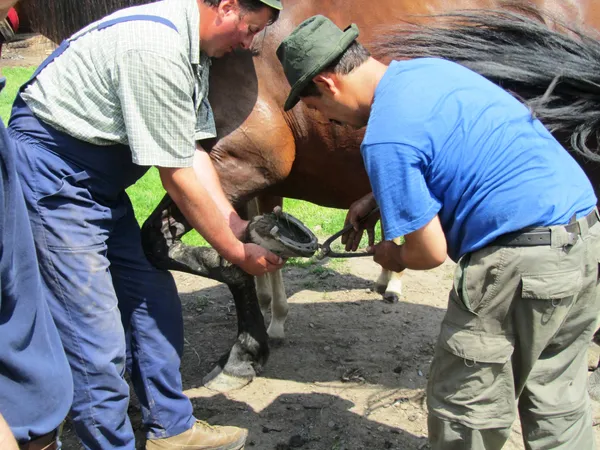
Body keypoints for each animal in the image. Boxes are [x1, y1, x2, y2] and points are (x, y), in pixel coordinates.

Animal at [21, 0, 600, 390]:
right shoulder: (257, 186)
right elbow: (254, 248)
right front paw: (269, 321)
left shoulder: (239, 164)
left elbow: (186, 248)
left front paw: (246, 351)